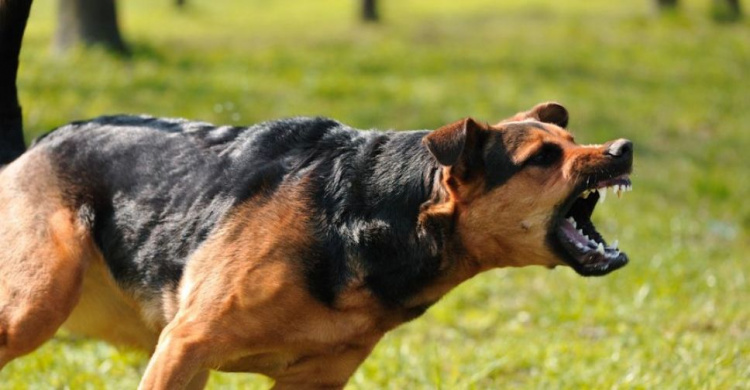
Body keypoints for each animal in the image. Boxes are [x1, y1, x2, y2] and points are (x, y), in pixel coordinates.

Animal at [0, 101, 636, 390]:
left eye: (573, 139)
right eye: (543, 158)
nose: (623, 148)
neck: (372, 216)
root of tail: (34, 145)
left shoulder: (313, 381)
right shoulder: (185, 348)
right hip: (36, 305)